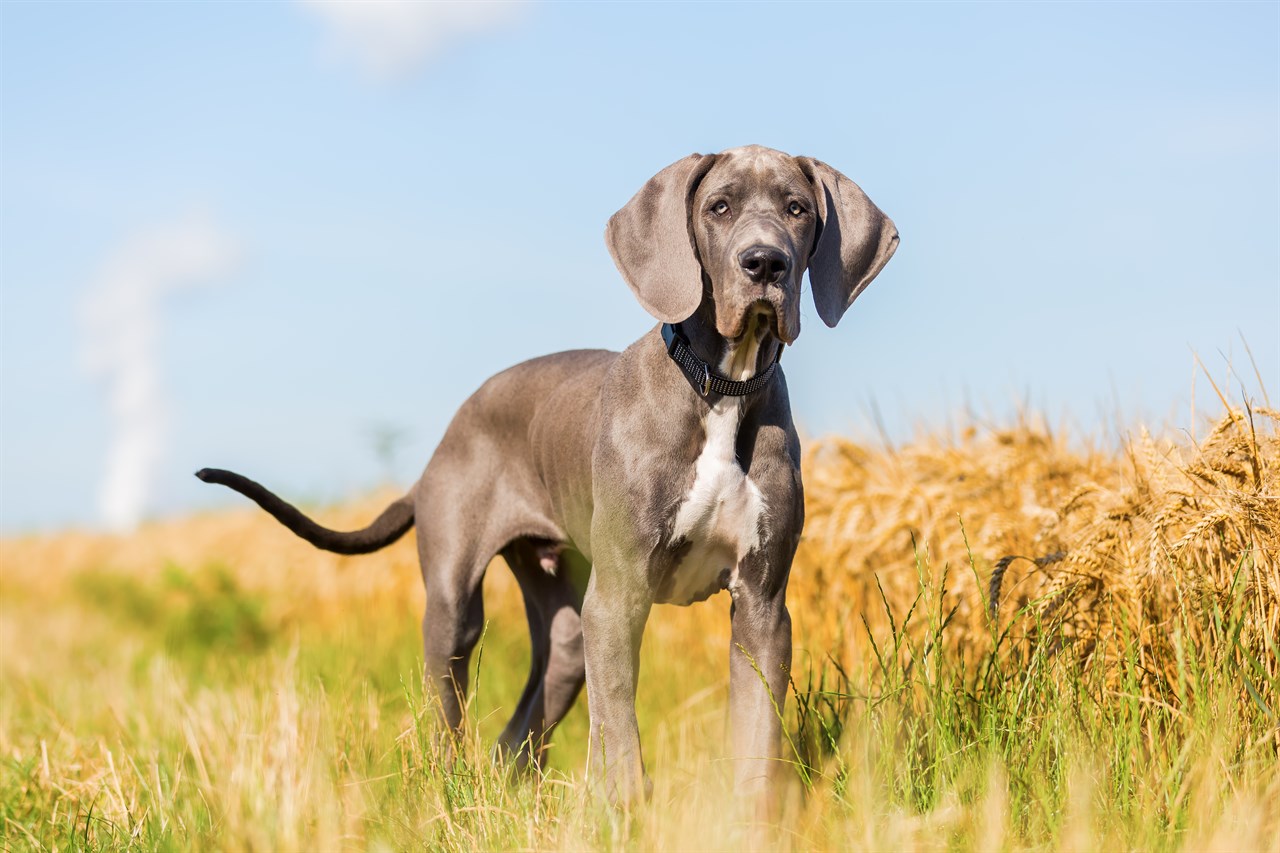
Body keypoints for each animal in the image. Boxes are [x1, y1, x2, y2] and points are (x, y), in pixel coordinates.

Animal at [199, 142, 901, 799]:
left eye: (797, 209)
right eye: (719, 207)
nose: (765, 263)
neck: (720, 386)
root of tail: (442, 443)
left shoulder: (762, 605)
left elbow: (755, 738)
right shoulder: (619, 597)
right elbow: (620, 734)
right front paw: (627, 813)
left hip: (564, 629)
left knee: (517, 734)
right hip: (456, 608)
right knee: (449, 710)